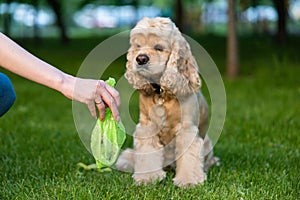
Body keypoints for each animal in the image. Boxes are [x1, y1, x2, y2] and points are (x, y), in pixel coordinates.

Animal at [116, 17, 219, 188]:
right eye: (138, 46)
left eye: (159, 47)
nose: (140, 58)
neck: (161, 93)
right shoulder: (147, 127)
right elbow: (147, 153)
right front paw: (147, 178)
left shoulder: (187, 130)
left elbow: (189, 156)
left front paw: (188, 181)